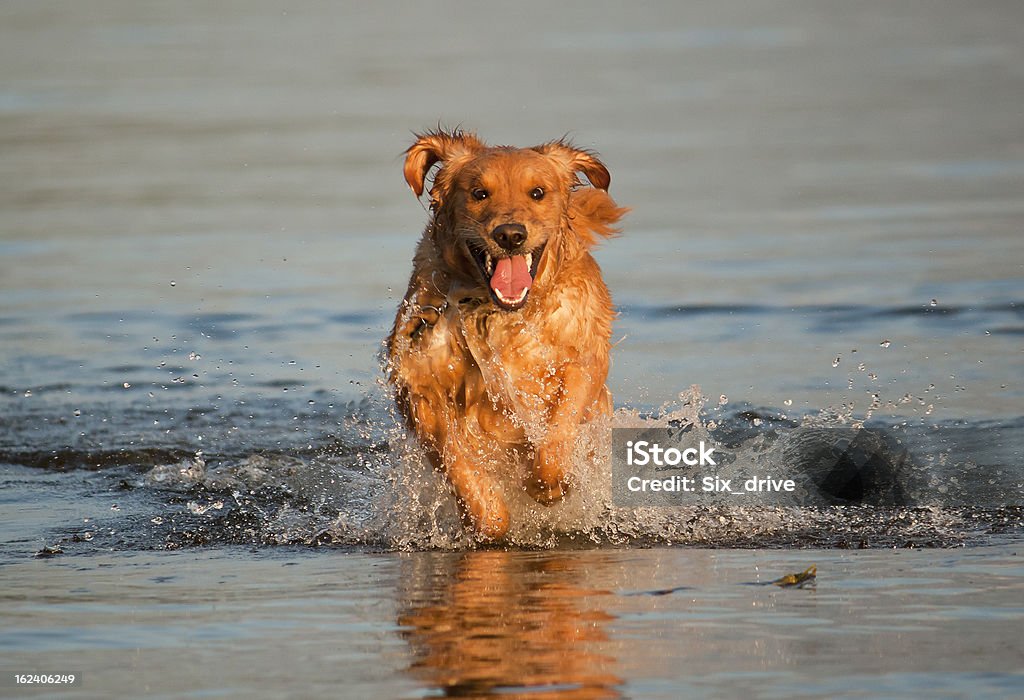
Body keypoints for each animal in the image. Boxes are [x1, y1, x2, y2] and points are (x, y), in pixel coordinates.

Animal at [385, 128, 622, 540]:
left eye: (537, 192)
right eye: (480, 193)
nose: (510, 235)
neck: (496, 312)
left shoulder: (582, 360)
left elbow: (558, 431)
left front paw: (548, 485)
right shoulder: (419, 381)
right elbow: (454, 455)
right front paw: (487, 515)